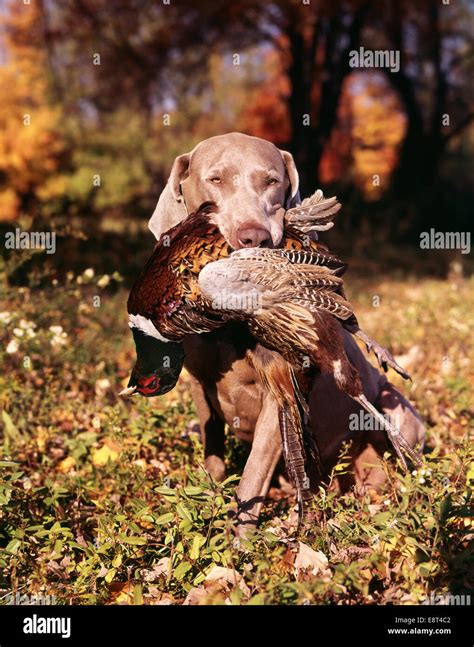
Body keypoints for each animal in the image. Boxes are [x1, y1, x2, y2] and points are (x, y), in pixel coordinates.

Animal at [147, 133, 422, 532]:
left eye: (272, 181)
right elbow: (214, 455)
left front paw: (238, 540)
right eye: (215, 179)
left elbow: (252, 475)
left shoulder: (279, 393)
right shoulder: (200, 385)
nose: (254, 237)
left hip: (398, 411)